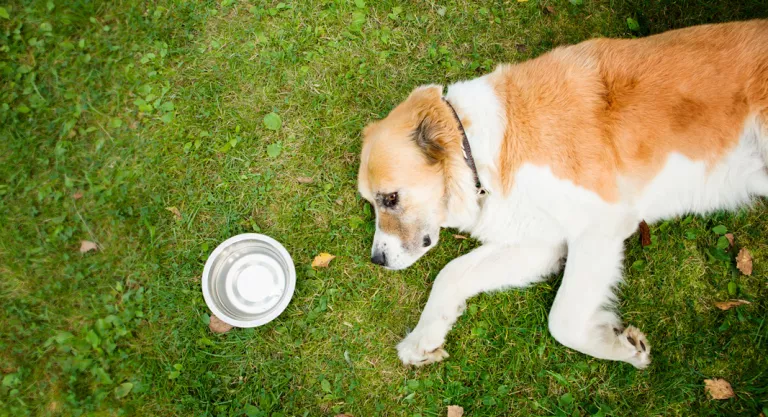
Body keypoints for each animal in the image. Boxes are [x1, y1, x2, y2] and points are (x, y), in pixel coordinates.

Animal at [358, 20, 768, 368]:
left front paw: (616, 347)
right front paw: (423, 338)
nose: (377, 260)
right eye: (372, 202)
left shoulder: (601, 225)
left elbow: (563, 321)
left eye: (389, 198)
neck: (478, 150)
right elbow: (452, 273)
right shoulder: (542, 243)